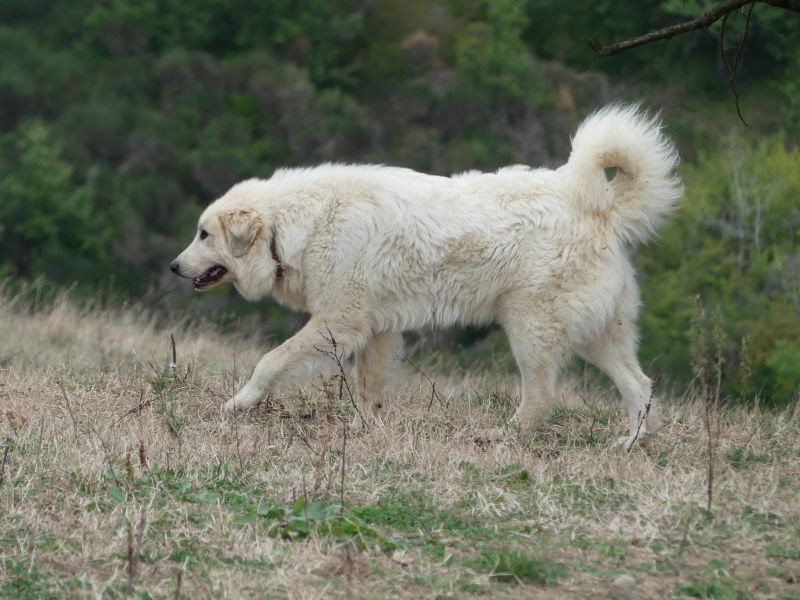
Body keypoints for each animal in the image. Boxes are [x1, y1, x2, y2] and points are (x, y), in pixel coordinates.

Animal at [170, 105, 680, 448]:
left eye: (203, 234)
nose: (174, 267)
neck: (294, 224)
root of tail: (598, 209)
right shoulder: (375, 330)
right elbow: (368, 389)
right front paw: (365, 430)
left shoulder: (339, 322)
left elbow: (269, 362)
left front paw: (238, 404)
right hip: (600, 335)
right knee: (640, 387)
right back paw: (629, 444)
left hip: (530, 331)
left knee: (539, 398)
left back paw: (502, 436)